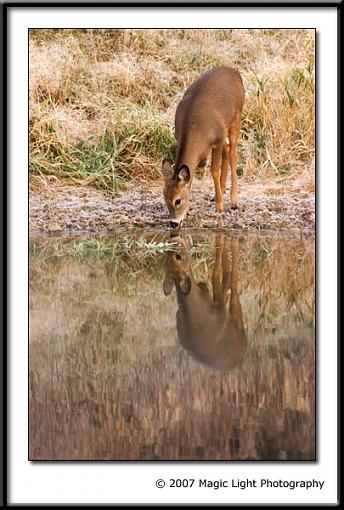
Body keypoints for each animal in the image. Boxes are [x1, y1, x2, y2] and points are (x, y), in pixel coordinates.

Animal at [161, 66, 245, 229]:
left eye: (178, 200)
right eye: (165, 197)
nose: (173, 223)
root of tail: (234, 71)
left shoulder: (217, 139)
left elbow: (214, 170)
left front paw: (219, 206)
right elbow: (191, 176)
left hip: (236, 118)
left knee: (233, 155)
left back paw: (233, 201)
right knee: (227, 151)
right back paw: (222, 190)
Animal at [162, 235, 246, 370]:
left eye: (176, 256)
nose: (173, 238)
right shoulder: (219, 308)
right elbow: (216, 273)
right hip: (236, 322)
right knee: (232, 283)